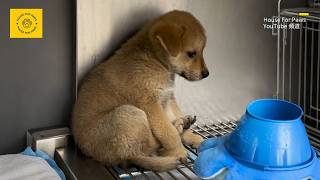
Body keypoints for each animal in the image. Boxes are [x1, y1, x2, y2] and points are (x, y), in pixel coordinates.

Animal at [71, 10, 209, 172]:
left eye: (202, 51)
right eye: (191, 53)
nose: (206, 74)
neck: (155, 60)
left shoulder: (167, 99)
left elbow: (174, 116)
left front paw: (192, 137)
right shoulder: (151, 105)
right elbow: (168, 133)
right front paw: (179, 150)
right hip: (130, 113)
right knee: (152, 146)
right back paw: (178, 128)